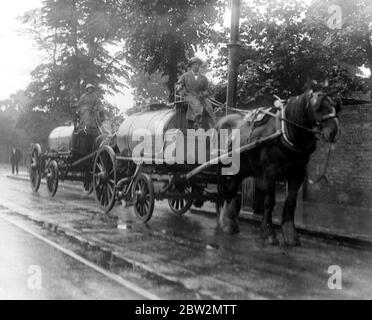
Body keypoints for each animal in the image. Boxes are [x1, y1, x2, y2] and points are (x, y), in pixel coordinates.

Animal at [217, 90, 342, 248]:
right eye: (319, 107)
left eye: (336, 108)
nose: (334, 133)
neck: (284, 132)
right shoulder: (270, 173)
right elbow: (269, 202)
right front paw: (268, 233)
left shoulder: (297, 174)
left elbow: (291, 203)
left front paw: (290, 235)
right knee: (224, 190)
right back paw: (225, 223)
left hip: (240, 169)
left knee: (230, 191)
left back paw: (229, 222)